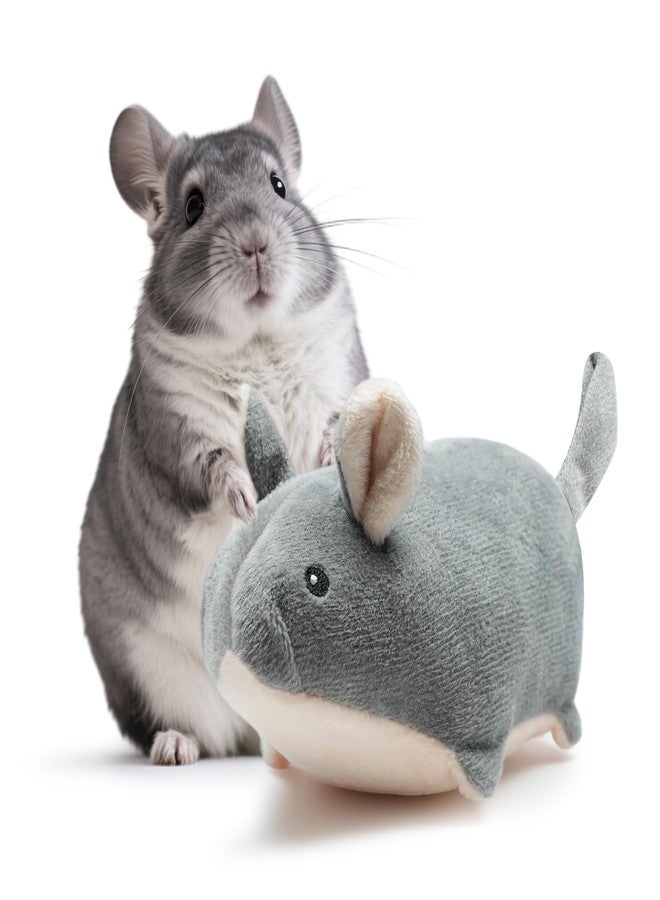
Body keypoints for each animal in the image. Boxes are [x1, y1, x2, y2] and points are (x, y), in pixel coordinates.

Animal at [79, 76, 369, 764]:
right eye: (192, 206)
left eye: (279, 185)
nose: (257, 242)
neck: (256, 343)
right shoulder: (176, 427)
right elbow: (212, 465)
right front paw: (244, 500)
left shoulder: (339, 378)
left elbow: (333, 427)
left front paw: (325, 461)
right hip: (144, 670)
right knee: (176, 727)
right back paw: (175, 747)